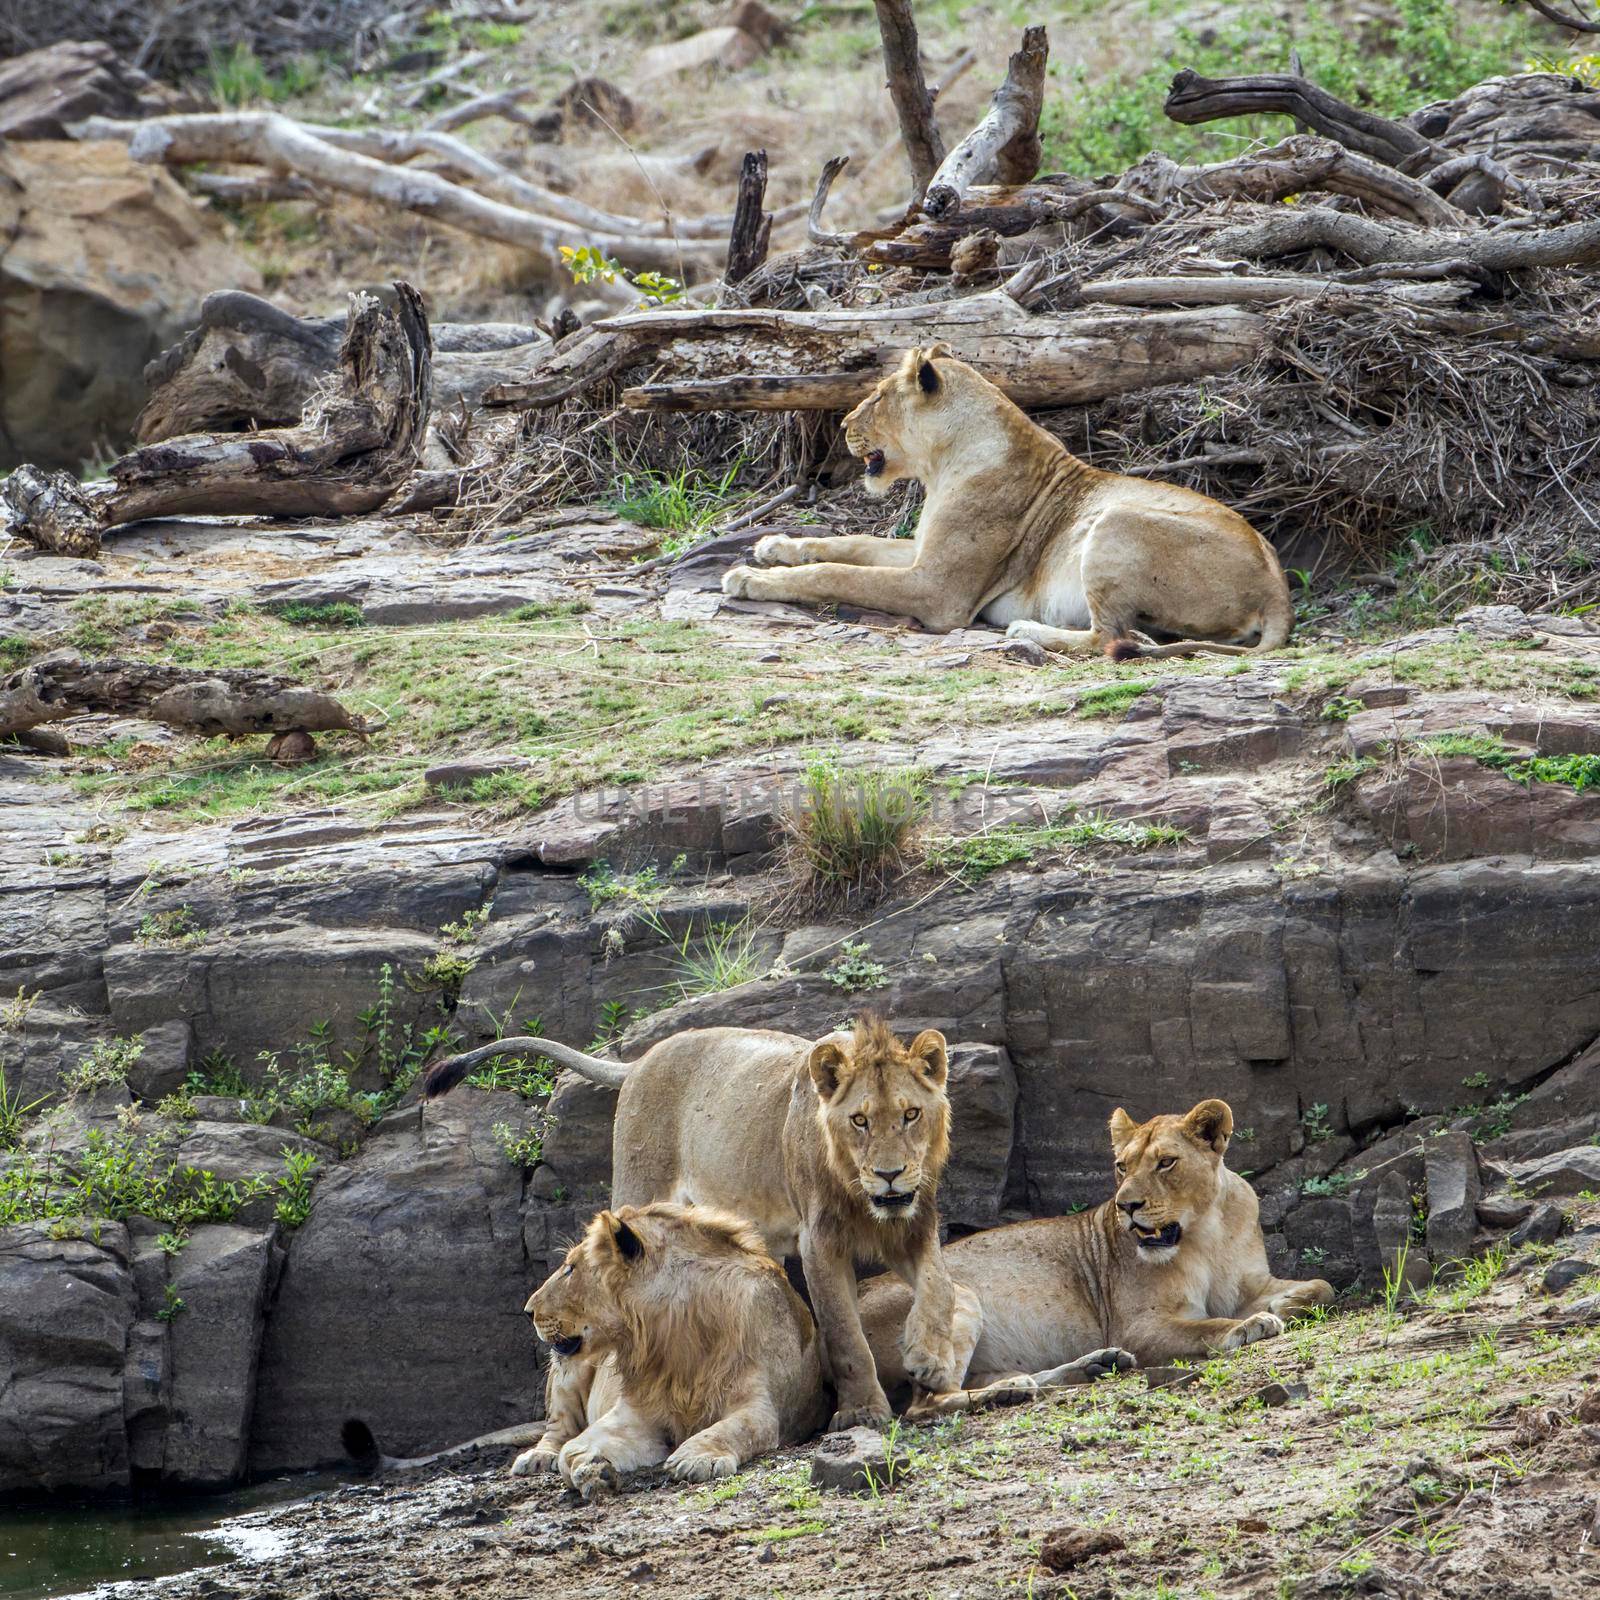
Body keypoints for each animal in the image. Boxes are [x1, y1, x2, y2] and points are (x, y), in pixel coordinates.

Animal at [521, 1203, 832, 1491]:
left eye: (570, 1269)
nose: (528, 1311)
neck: (672, 1338)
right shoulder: (636, 1413)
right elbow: (570, 1449)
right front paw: (592, 1468)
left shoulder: (760, 1407)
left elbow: (733, 1430)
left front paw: (697, 1458)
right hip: (567, 1371)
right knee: (557, 1428)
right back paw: (536, 1458)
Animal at [720, 344, 1292, 656]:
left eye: (878, 397)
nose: (841, 425)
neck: (941, 466)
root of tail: (1278, 587)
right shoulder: (922, 553)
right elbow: (850, 543)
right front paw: (773, 546)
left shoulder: (938, 591)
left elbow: (836, 574)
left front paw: (749, 578)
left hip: (1115, 522)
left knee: (1110, 636)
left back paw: (1026, 629)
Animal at [857, 1100, 1331, 1414]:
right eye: (1122, 1166)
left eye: (1166, 1163)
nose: (1127, 1205)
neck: (1205, 1232)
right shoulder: (1139, 1326)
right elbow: (1206, 1327)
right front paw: (1249, 1324)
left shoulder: (1251, 1282)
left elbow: (1322, 1285)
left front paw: (1287, 1304)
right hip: (958, 1296)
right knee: (924, 1404)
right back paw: (1009, 1392)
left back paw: (1089, 1368)